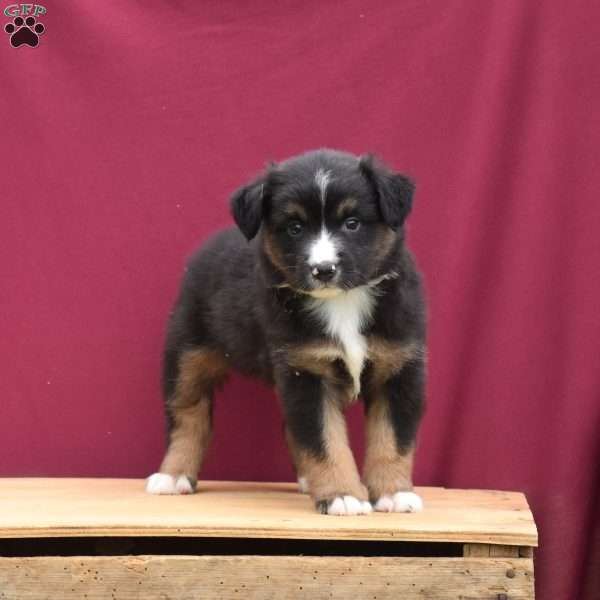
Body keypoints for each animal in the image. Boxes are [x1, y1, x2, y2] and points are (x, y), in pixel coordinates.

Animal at [145, 150, 426, 516]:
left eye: (352, 223)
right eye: (295, 228)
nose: (323, 270)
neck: (343, 304)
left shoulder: (399, 366)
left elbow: (392, 440)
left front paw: (394, 493)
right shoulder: (306, 368)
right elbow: (324, 440)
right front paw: (343, 495)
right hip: (187, 353)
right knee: (187, 415)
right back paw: (173, 476)